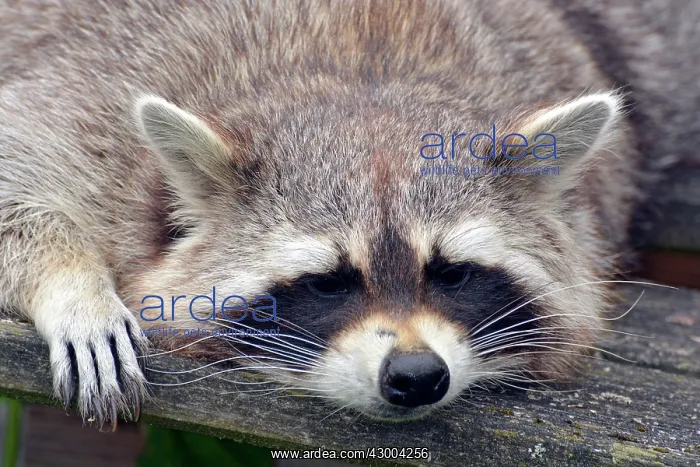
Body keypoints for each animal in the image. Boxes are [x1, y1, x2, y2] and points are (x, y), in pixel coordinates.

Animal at [1, 0, 697, 427]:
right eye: (329, 282)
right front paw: (74, 285)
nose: (416, 376)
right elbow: (18, 167)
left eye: (452, 273)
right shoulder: (96, 103)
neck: (363, 72)